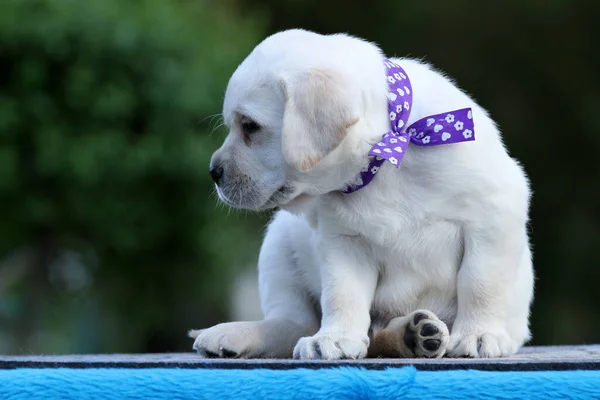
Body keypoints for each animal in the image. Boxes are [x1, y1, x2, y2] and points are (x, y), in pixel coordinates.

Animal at [190, 28, 532, 360]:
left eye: (250, 126)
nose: (213, 172)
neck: (385, 158)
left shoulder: (490, 219)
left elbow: (481, 283)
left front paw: (479, 333)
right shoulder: (344, 241)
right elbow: (342, 294)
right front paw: (335, 338)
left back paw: (415, 335)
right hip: (278, 243)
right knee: (292, 322)